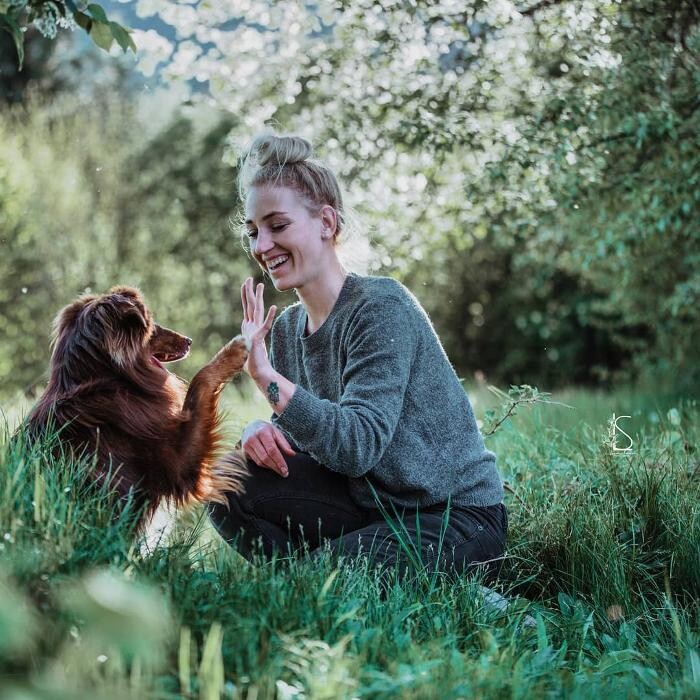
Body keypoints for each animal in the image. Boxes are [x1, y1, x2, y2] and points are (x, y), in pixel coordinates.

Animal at [24, 284, 249, 532]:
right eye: (152, 326)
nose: (189, 340)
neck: (109, 379)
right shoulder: (177, 461)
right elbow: (200, 381)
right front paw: (235, 350)